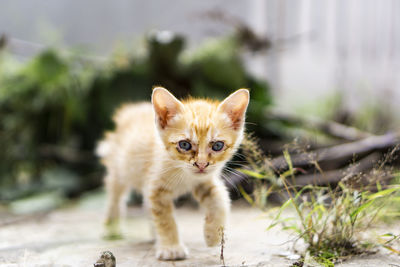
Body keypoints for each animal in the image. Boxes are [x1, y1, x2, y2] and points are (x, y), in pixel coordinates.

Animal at [97, 88, 248, 262]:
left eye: (217, 145)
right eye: (184, 145)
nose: (201, 164)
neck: (183, 173)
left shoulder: (204, 180)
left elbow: (221, 199)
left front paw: (213, 235)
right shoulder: (156, 188)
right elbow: (165, 219)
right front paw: (171, 248)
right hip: (119, 171)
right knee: (115, 197)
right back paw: (111, 228)